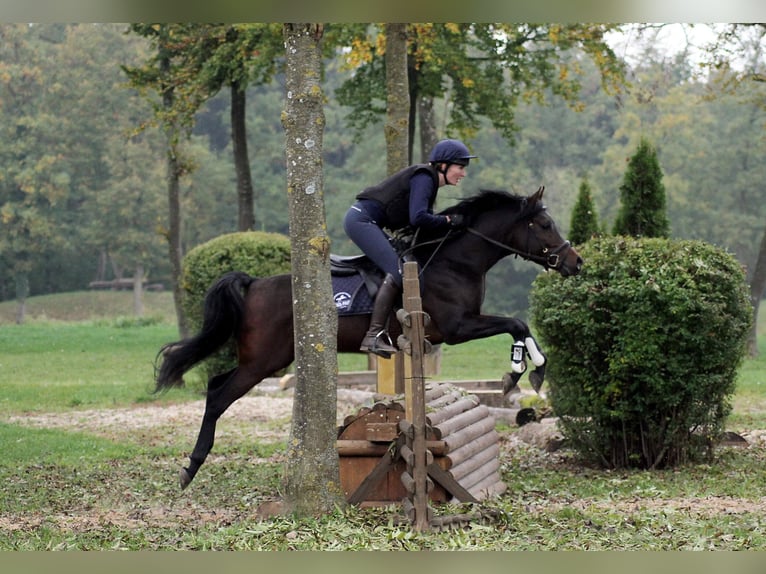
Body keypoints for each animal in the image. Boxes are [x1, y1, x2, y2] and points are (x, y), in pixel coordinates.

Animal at [156, 188, 584, 490]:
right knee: (217, 396)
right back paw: (191, 467)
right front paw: (521, 372)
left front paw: (528, 370)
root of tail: (254, 284)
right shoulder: (458, 327)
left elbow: (520, 325)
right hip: (262, 361)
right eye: (545, 224)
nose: (575, 262)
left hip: (264, 360)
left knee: (215, 383)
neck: (455, 260)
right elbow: (516, 323)